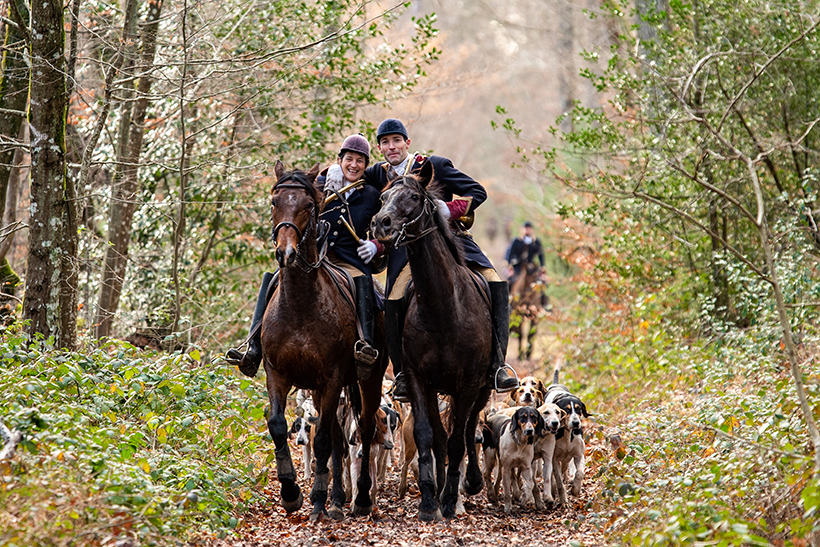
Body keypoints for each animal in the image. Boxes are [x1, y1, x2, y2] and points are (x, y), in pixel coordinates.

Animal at [264, 159, 390, 524]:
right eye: (274, 202)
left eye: (309, 205)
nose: (285, 253)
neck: (300, 305)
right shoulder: (277, 373)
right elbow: (278, 426)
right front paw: (291, 493)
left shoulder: (332, 377)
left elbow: (320, 441)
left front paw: (317, 502)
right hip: (323, 393)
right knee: (337, 437)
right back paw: (336, 500)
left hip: (365, 381)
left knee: (363, 429)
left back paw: (359, 499)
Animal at [372, 163, 494, 524]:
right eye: (382, 196)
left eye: (414, 197)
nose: (381, 224)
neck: (442, 306)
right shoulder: (417, 380)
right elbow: (430, 437)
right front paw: (430, 501)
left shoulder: (469, 382)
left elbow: (458, 440)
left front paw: (452, 498)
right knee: (443, 437)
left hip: (482, 388)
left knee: (468, 429)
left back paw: (468, 484)